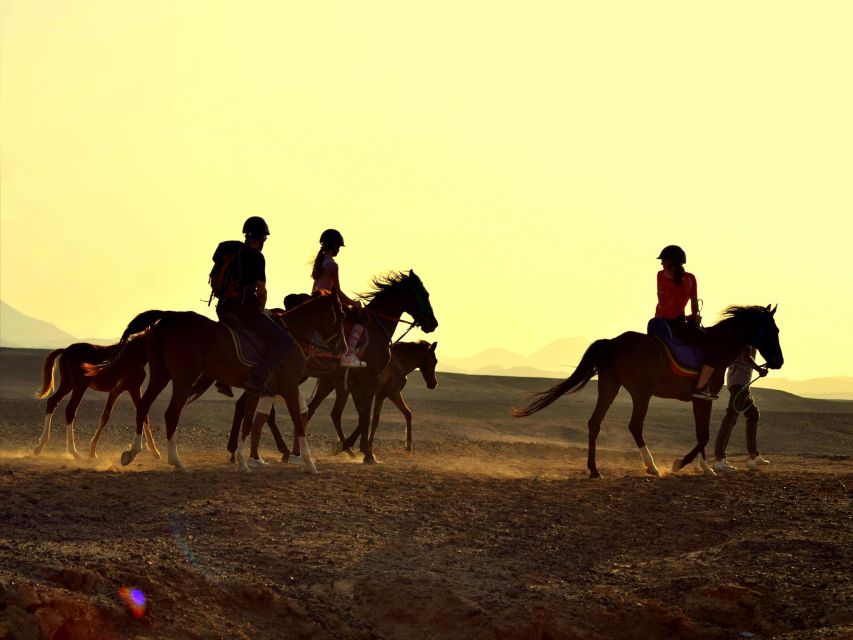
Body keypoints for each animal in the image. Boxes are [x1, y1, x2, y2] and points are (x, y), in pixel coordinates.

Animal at [91, 292, 344, 472]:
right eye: (341, 316)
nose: (342, 347)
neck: (292, 337)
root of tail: (169, 317)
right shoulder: (290, 388)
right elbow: (299, 422)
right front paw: (309, 463)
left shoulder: (257, 390)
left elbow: (248, 422)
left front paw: (242, 462)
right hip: (183, 378)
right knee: (171, 414)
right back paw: (177, 462)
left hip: (161, 375)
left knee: (144, 406)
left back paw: (132, 452)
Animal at [510, 306, 784, 480]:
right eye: (774, 331)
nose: (779, 362)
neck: (717, 347)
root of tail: (612, 342)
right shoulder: (703, 397)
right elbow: (704, 435)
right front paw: (680, 463)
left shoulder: (699, 400)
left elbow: (701, 433)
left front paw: (706, 468)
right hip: (641, 393)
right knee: (634, 425)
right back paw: (651, 467)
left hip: (609, 386)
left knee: (594, 423)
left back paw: (595, 470)